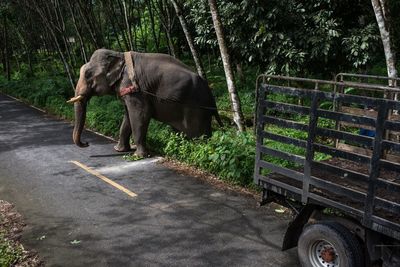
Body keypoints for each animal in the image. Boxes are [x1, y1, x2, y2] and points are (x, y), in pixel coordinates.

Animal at [66, 48, 222, 157]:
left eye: (88, 75)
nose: (86, 143)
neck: (119, 55)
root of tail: (210, 93)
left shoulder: (135, 90)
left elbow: (140, 114)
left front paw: (139, 156)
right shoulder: (128, 91)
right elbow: (127, 117)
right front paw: (119, 150)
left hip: (196, 108)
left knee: (198, 135)